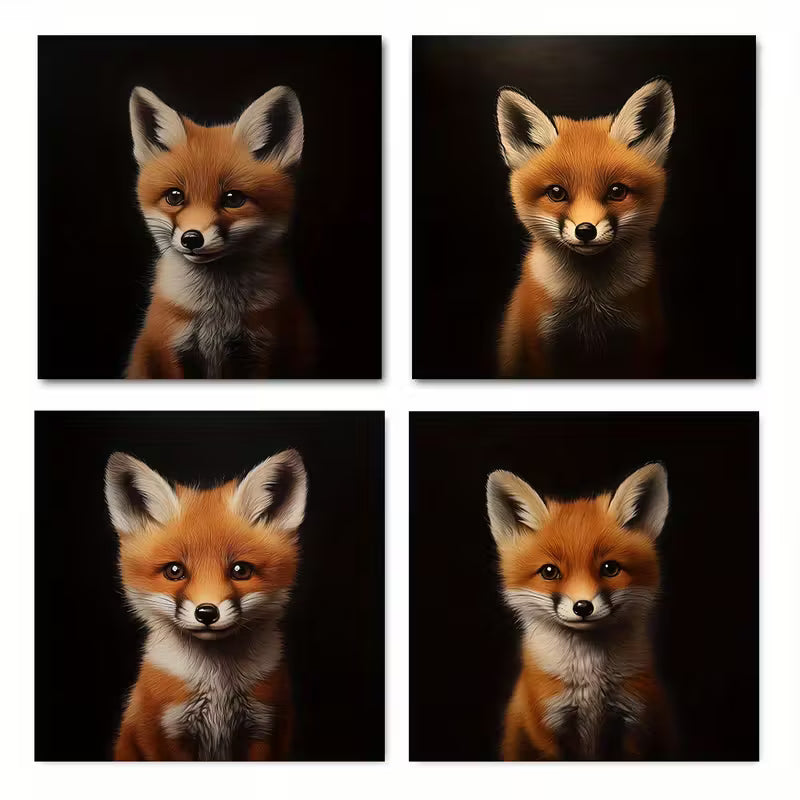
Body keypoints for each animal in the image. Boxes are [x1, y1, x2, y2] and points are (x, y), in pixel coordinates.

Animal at [104, 448, 307, 760]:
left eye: (240, 570)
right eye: (174, 571)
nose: (207, 612)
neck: (217, 684)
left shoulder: (266, 727)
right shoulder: (164, 733)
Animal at [125, 86, 314, 378]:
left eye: (233, 199)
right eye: (175, 196)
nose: (191, 238)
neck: (215, 312)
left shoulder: (261, 352)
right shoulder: (169, 350)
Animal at [486, 462, 674, 760]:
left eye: (610, 568)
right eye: (549, 571)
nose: (583, 606)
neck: (589, 680)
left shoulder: (635, 723)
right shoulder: (547, 729)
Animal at [495, 79, 676, 378]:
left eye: (617, 191)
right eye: (556, 193)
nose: (586, 230)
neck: (590, 303)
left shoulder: (643, 343)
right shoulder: (541, 343)